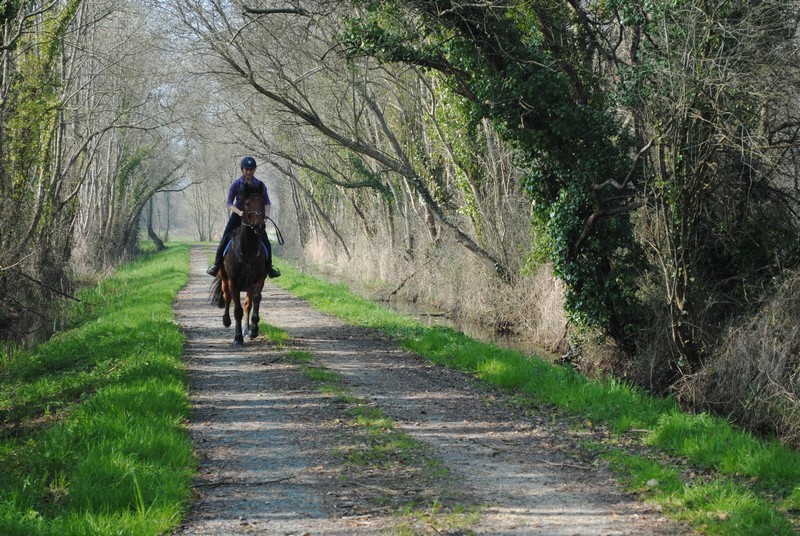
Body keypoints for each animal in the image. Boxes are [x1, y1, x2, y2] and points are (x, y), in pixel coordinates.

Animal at [209, 185, 268, 348]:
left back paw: (247, 329)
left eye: (263, 203)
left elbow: (255, 300)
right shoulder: (233, 281)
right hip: (224, 280)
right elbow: (237, 310)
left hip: (248, 285)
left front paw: (253, 329)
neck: (247, 250)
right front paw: (237, 338)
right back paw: (226, 321)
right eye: (247, 204)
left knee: (247, 304)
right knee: (227, 297)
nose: (259, 226)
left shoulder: (258, 279)